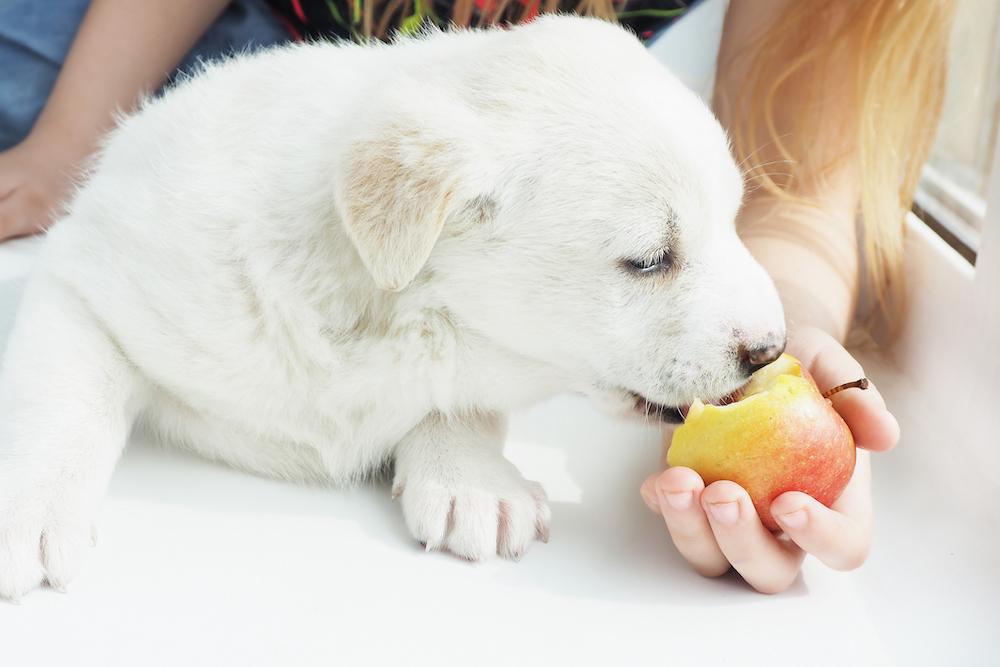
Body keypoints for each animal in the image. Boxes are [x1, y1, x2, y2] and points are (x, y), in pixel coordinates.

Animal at [0, 17, 784, 600]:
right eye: (649, 259)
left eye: (732, 221)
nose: (772, 349)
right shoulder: (83, 273)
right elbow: (62, 402)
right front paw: (29, 510)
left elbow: (460, 400)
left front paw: (469, 475)